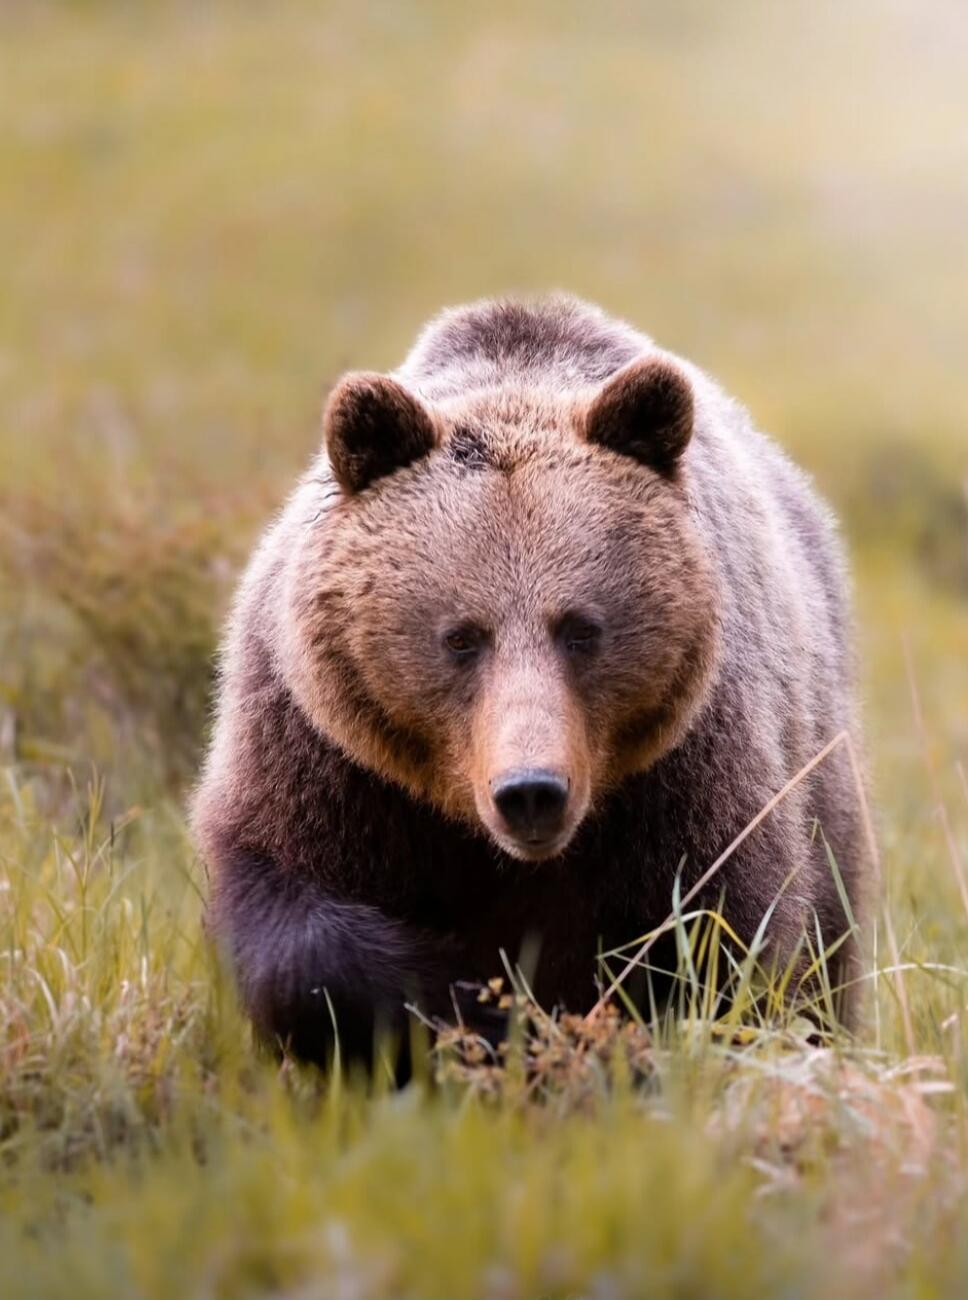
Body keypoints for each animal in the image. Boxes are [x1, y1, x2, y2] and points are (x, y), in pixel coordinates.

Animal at [192, 294, 866, 1069]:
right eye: (461, 636)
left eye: (581, 629)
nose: (532, 792)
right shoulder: (327, 751)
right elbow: (294, 915)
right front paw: (468, 1011)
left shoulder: (685, 767)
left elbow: (708, 934)